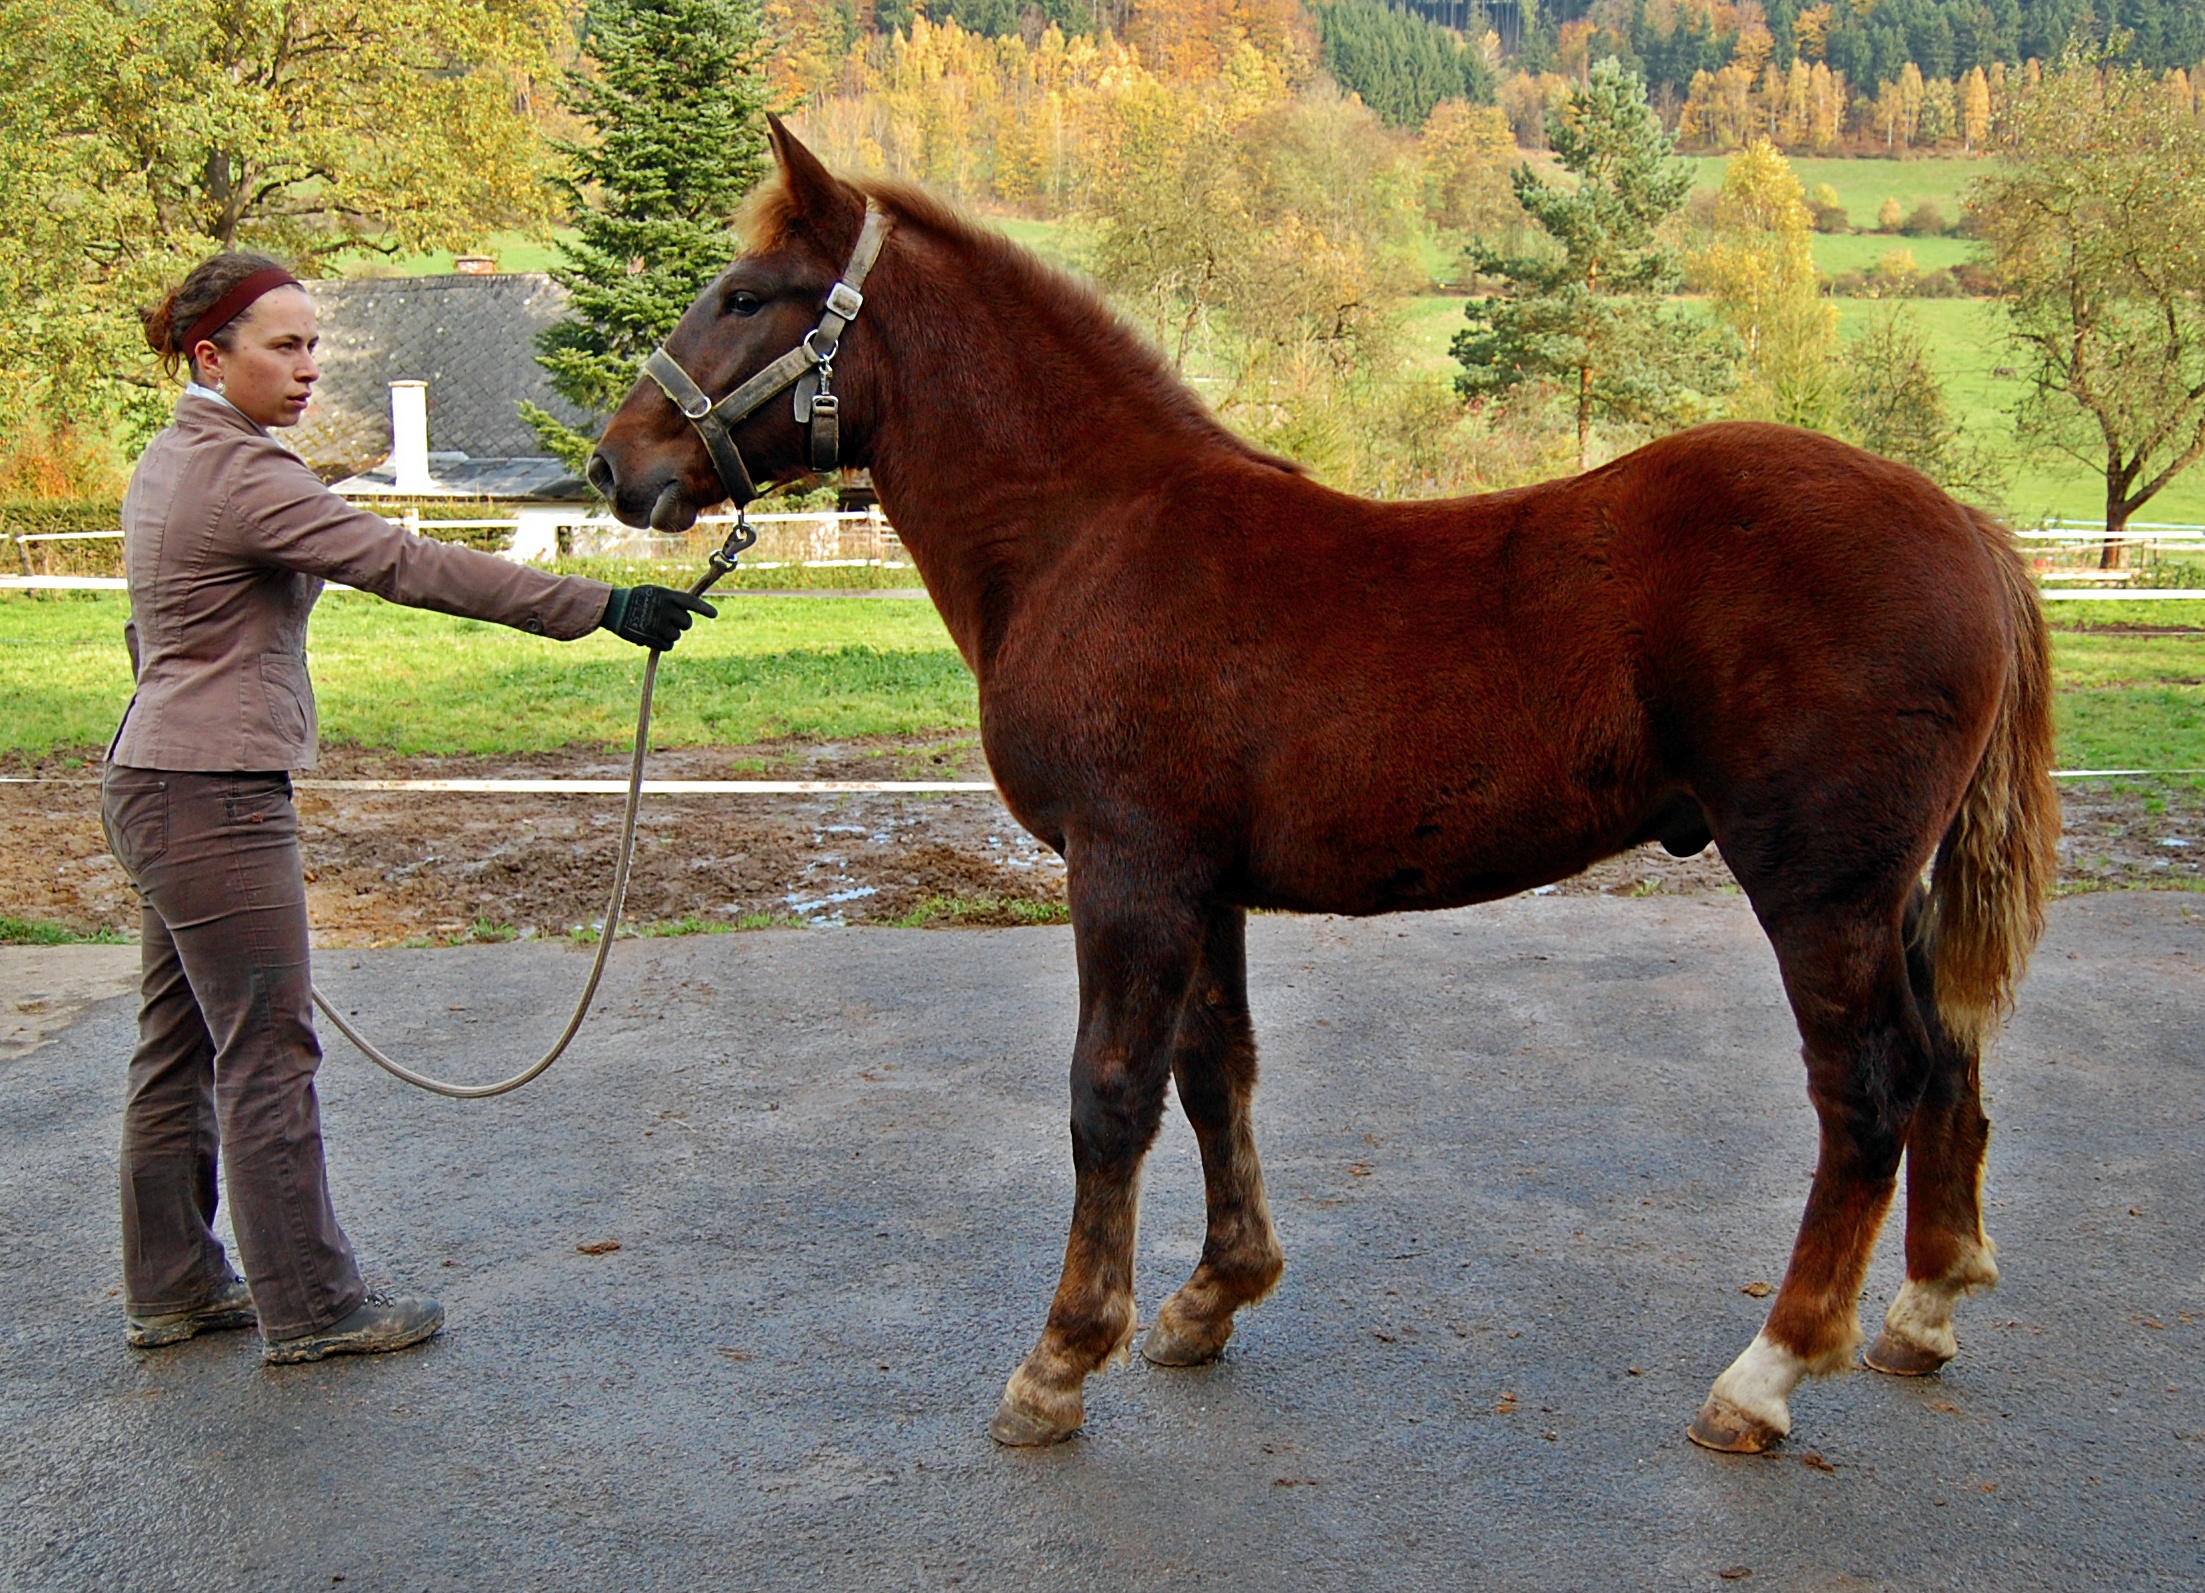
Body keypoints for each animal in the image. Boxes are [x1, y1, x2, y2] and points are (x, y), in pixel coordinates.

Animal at [590, 118, 2063, 1447]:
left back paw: (1766, 1374)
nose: (617, 463)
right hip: (1890, 894)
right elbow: (1213, 1074)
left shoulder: (1125, 868)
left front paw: (1061, 1360)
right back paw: (1924, 1309)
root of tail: (1962, 523)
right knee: (1947, 1062)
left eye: (746, 294)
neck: (1091, 535)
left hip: (1820, 889)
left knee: (1868, 1088)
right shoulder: (1202, 883)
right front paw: (1209, 1299)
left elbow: (1107, 1096)